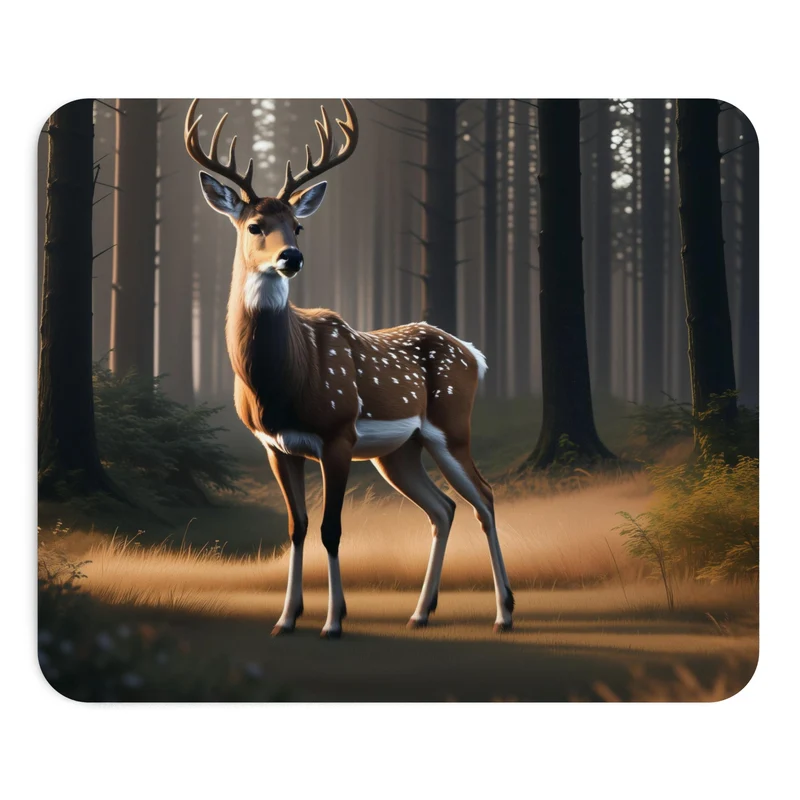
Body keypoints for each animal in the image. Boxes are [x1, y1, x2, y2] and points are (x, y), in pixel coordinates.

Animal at [184, 98, 513, 638]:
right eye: (255, 226)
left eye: (297, 225)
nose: (291, 256)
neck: (280, 385)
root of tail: (473, 353)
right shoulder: (275, 446)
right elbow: (296, 528)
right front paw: (286, 618)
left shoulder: (338, 432)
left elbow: (332, 529)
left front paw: (334, 621)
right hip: (399, 452)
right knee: (443, 509)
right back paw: (420, 612)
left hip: (451, 426)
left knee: (483, 498)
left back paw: (504, 613)